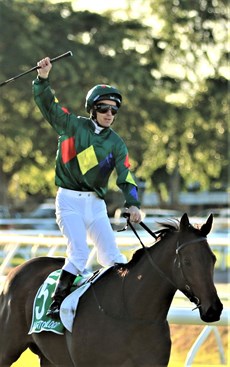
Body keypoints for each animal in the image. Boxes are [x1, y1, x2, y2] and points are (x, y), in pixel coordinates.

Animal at [0, 214, 223, 367]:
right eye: (187, 261)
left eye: (213, 258)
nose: (214, 309)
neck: (133, 313)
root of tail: (15, 271)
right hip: (7, 349)